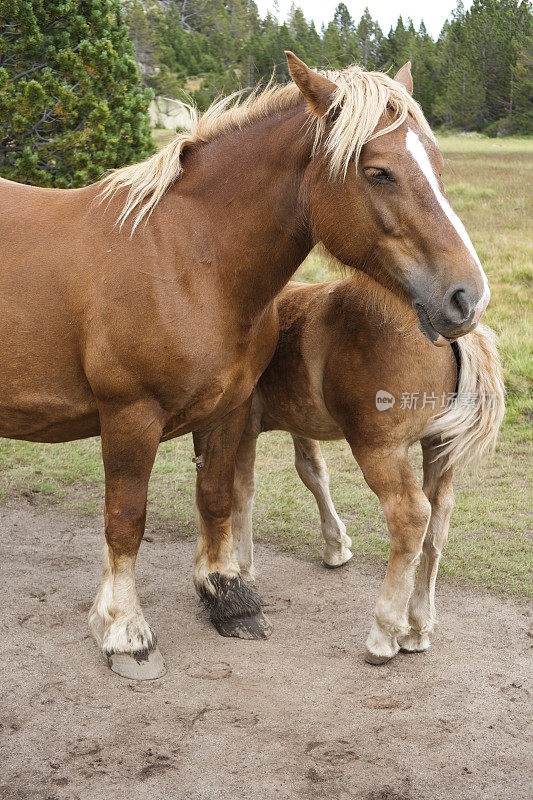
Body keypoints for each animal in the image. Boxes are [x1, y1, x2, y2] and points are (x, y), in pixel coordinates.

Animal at [232, 278, 502, 664]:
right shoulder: (299, 423)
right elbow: (312, 471)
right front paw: (336, 546)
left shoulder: (239, 426)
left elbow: (238, 490)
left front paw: (239, 569)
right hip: (438, 447)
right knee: (438, 517)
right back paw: (417, 627)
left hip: (381, 452)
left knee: (411, 516)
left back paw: (383, 635)